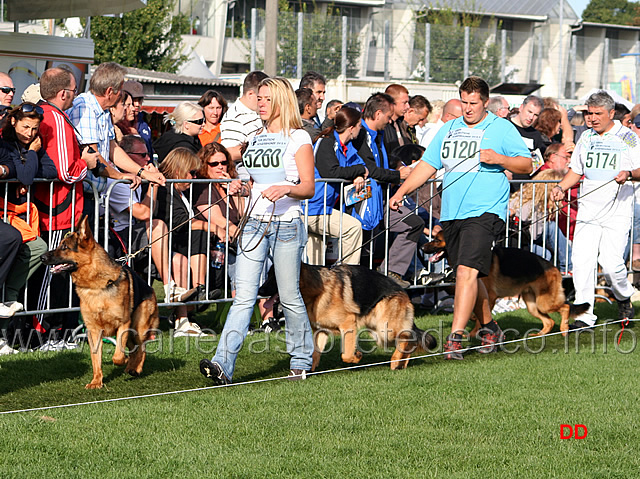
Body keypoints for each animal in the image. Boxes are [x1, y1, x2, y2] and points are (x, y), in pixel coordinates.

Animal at [41, 218, 160, 390]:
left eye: (64, 247)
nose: (41, 258)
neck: (95, 285)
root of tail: (150, 288)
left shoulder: (123, 323)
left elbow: (118, 355)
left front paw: (121, 360)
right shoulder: (93, 331)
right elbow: (96, 359)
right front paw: (97, 381)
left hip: (138, 327)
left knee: (141, 348)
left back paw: (135, 368)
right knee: (134, 348)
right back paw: (131, 367)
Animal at [258, 262, 438, 372]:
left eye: (274, 278)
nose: (259, 291)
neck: (316, 290)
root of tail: (404, 292)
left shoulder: (348, 324)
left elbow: (346, 354)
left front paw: (356, 356)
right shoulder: (321, 330)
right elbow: (315, 353)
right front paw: (306, 371)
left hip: (385, 330)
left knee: (408, 337)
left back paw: (395, 361)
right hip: (378, 331)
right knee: (409, 341)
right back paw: (400, 364)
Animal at [422, 231, 588, 336]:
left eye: (436, 239)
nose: (422, 247)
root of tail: (554, 267)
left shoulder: (489, 296)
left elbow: (481, 317)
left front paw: (474, 333)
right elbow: (476, 314)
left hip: (544, 303)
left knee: (566, 307)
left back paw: (564, 329)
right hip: (533, 305)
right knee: (549, 321)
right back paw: (539, 334)